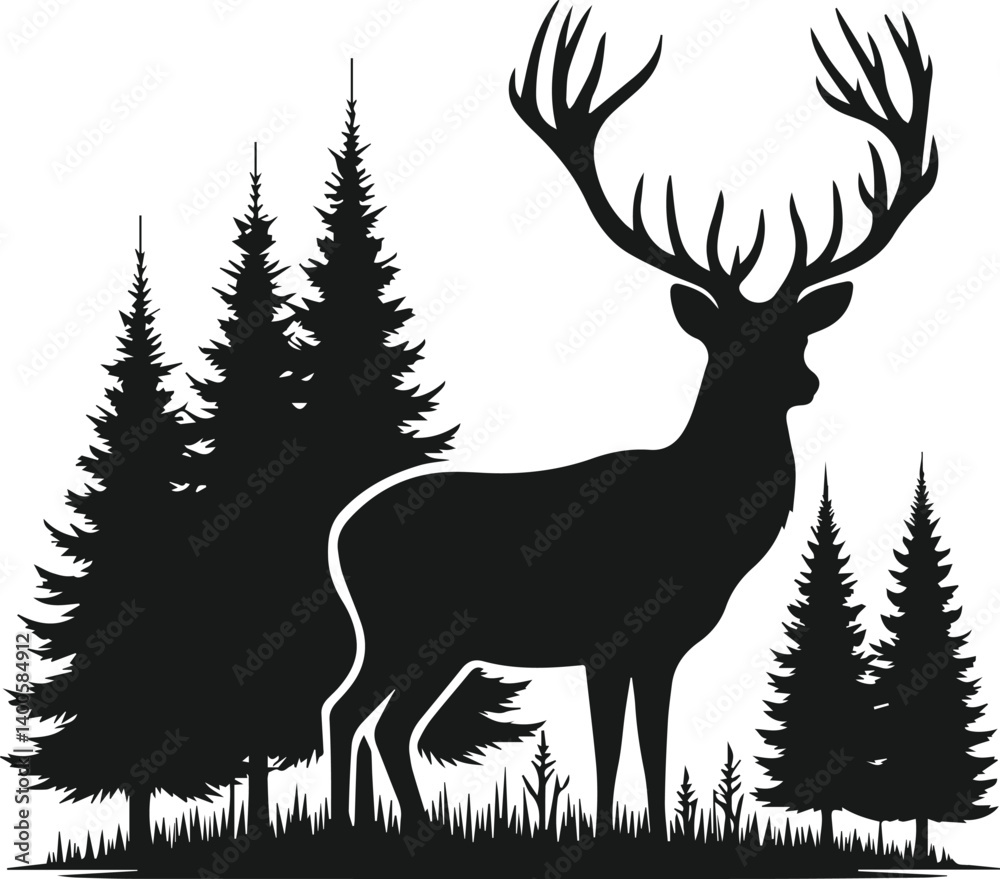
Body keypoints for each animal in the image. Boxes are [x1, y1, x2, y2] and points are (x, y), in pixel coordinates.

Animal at [322, 4, 937, 837]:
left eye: (798, 334)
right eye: (729, 340)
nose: (805, 381)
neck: (697, 524)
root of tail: (339, 535)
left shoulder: (663, 649)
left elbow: (654, 752)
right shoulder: (608, 636)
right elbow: (610, 758)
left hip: (436, 642)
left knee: (375, 719)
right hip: (407, 625)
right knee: (357, 712)